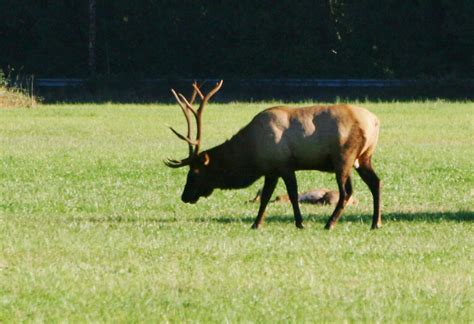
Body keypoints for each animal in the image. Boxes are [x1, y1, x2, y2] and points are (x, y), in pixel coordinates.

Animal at [164, 79, 382, 229]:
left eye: (195, 173)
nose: (185, 196)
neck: (250, 152)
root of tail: (375, 121)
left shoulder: (283, 164)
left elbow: (292, 194)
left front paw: (300, 223)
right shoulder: (271, 170)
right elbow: (266, 196)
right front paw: (256, 223)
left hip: (343, 157)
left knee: (346, 192)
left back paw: (330, 224)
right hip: (363, 158)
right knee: (375, 182)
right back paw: (375, 223)